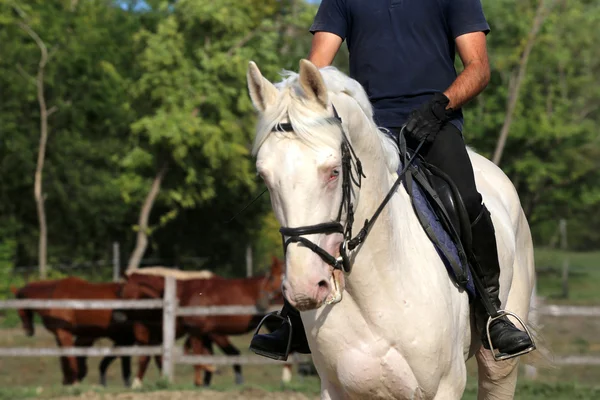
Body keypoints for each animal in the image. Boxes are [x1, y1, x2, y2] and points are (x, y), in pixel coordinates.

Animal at [122, 258, 286, 386]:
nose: (123, 316)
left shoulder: (196, 332)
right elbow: (201, 356)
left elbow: (196, 357)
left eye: (123, 290)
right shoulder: (202, 333)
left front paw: (202, 379)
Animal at [246, 60, 536, 400]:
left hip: (499, 362)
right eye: (265, 177)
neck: (375, 288)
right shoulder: (336, 388)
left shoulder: (445, 387)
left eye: (333, 172)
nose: (304, 288)